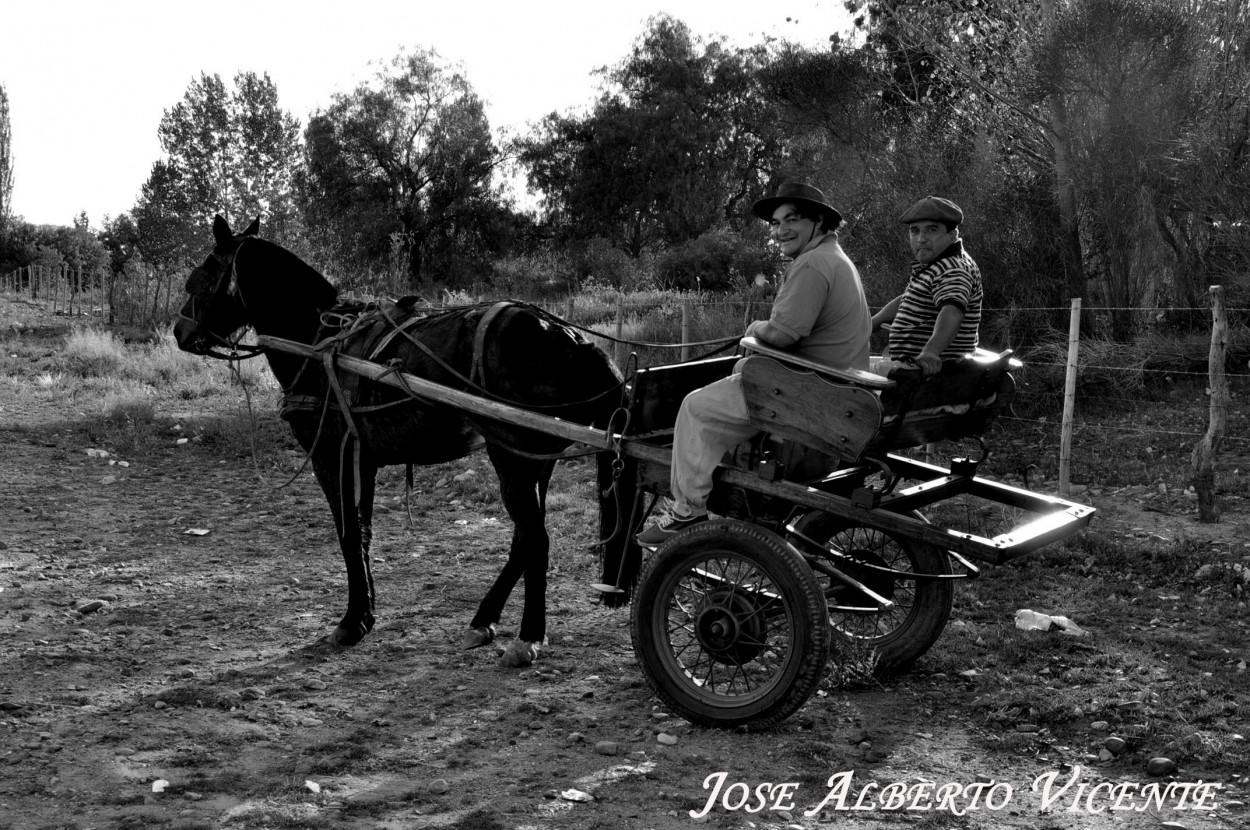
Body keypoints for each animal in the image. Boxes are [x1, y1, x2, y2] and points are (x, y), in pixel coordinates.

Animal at [168, 215, 625, 670]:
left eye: (201, 276)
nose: (179, 331)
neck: (316, 342)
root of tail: (573, 339)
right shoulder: (362, 460)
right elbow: (364, 534)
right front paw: (365, 614)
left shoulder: (332, 458)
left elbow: (349, 535)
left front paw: (352, 622)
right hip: (536, 459)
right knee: (523, 540)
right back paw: (484, 619)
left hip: (512, 455)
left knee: (535, 539)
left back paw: (528, 635)